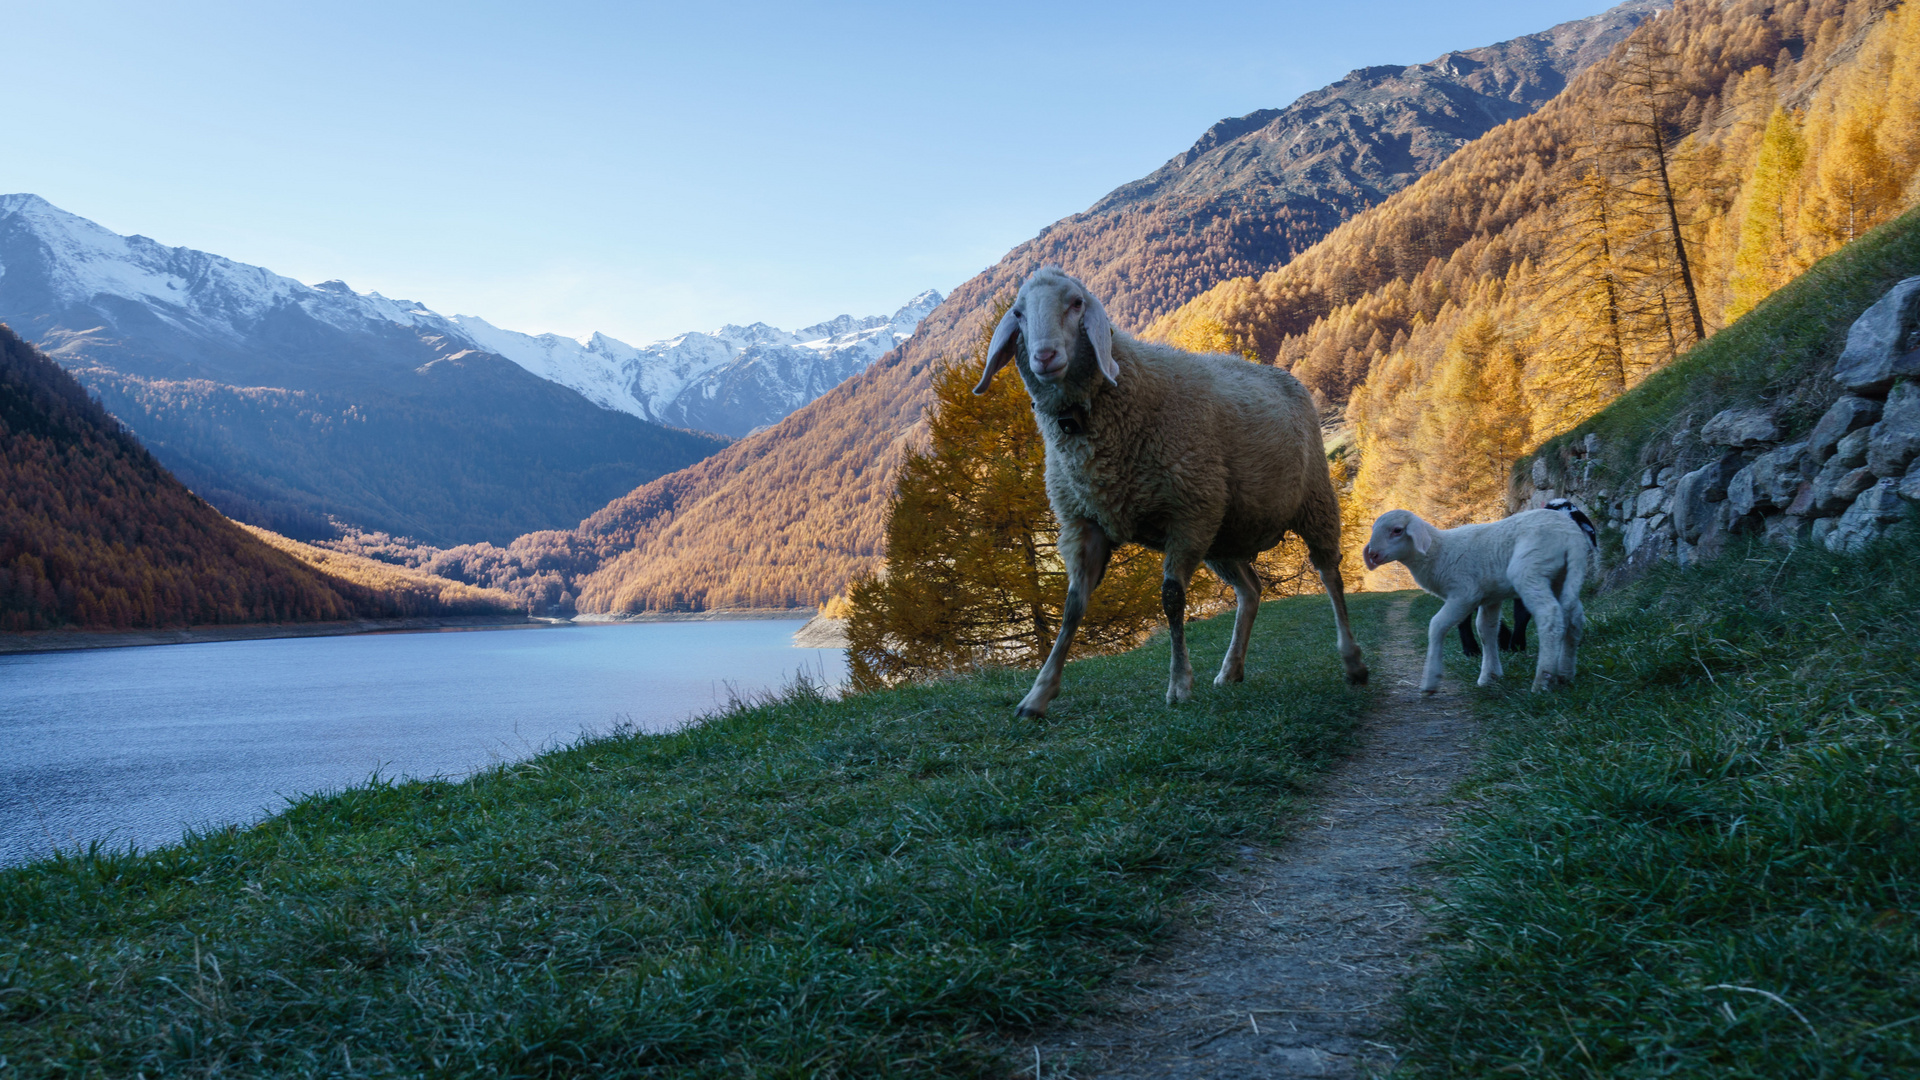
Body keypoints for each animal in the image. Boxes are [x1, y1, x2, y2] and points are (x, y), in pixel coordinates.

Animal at [975, 265, 1367, 714]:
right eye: (1019, 313)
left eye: (1076, 303)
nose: (1044, 357)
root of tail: (1283, 374)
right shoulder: (1084, 522)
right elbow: (1072, 608)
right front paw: (1038, 694)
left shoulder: (1188, 513)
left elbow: (1172, 598)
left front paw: (1179, 683)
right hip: (1224, 532)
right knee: (1251, 591)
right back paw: (1231, 670)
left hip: (1312, 499)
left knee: (1330, 574)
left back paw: (1353, 663)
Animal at [1359, 507, 1597, 691]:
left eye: (1397, 530)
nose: (1372, 555)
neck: (1438, 552)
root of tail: (1571, 536)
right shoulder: (1490, 596)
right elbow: (1486, 630)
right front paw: (1489, 676)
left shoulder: (1464, 594)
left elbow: (1437, 625)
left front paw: (1431, 681)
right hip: (1562, 577)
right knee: (1575, 619)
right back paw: (1565, 673)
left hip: (1531, 569)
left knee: (1550, 616)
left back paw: (1541, 681)